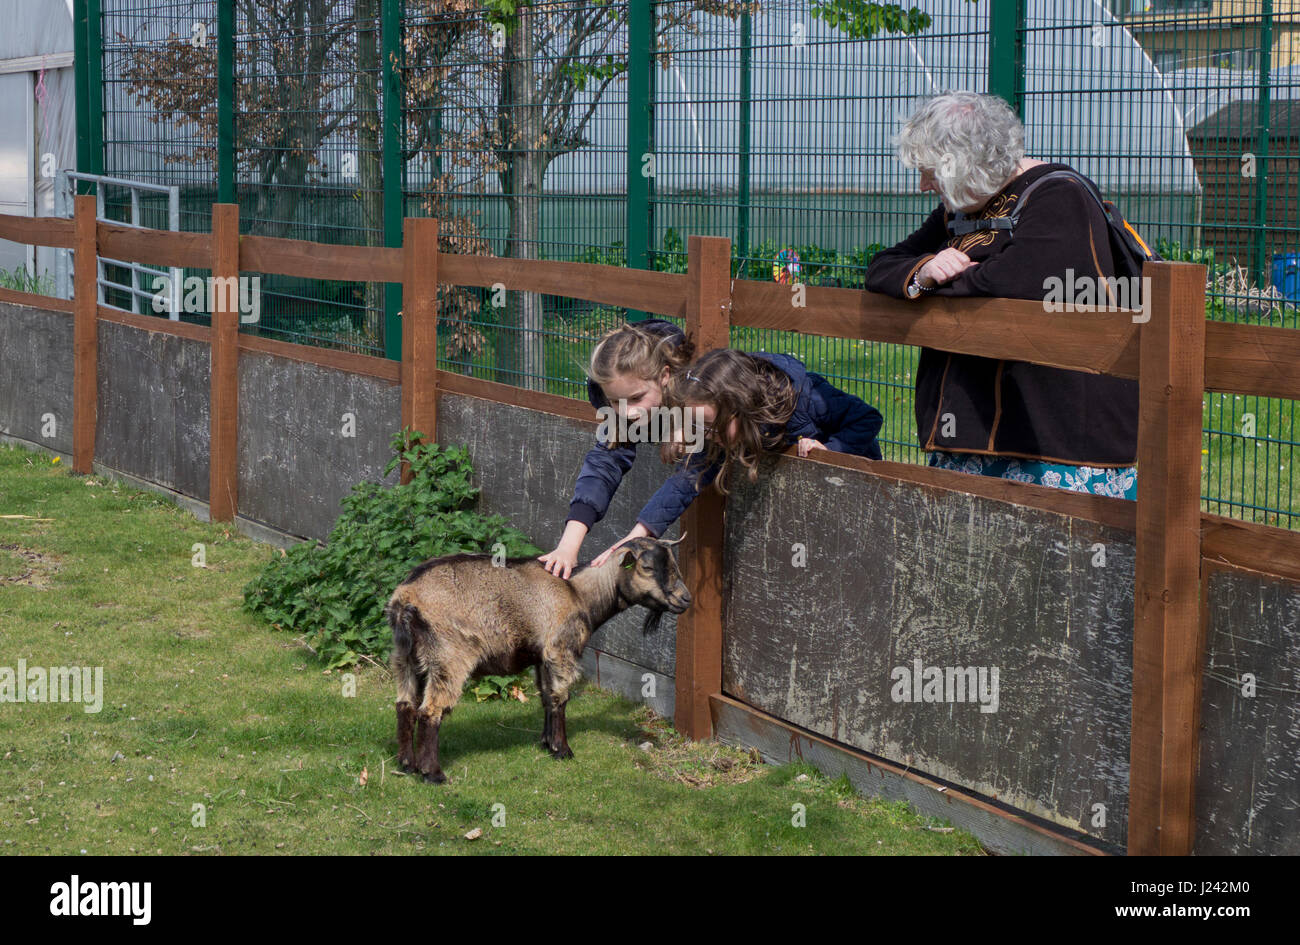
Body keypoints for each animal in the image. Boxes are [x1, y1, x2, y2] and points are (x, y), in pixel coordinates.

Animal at [382, 535, 691, 785]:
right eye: (647, 568)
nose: (685, 599)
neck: (579, 593)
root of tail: (405, 598)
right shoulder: (561, 649)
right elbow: (561, 698)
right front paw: (563, 750)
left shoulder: (543, 657)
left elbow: (546, 696)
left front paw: (546, 743)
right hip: (448, 655)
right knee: (430, 711)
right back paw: (432, 773)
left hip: (406, 656)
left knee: (405, 705)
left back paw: (407, 763)